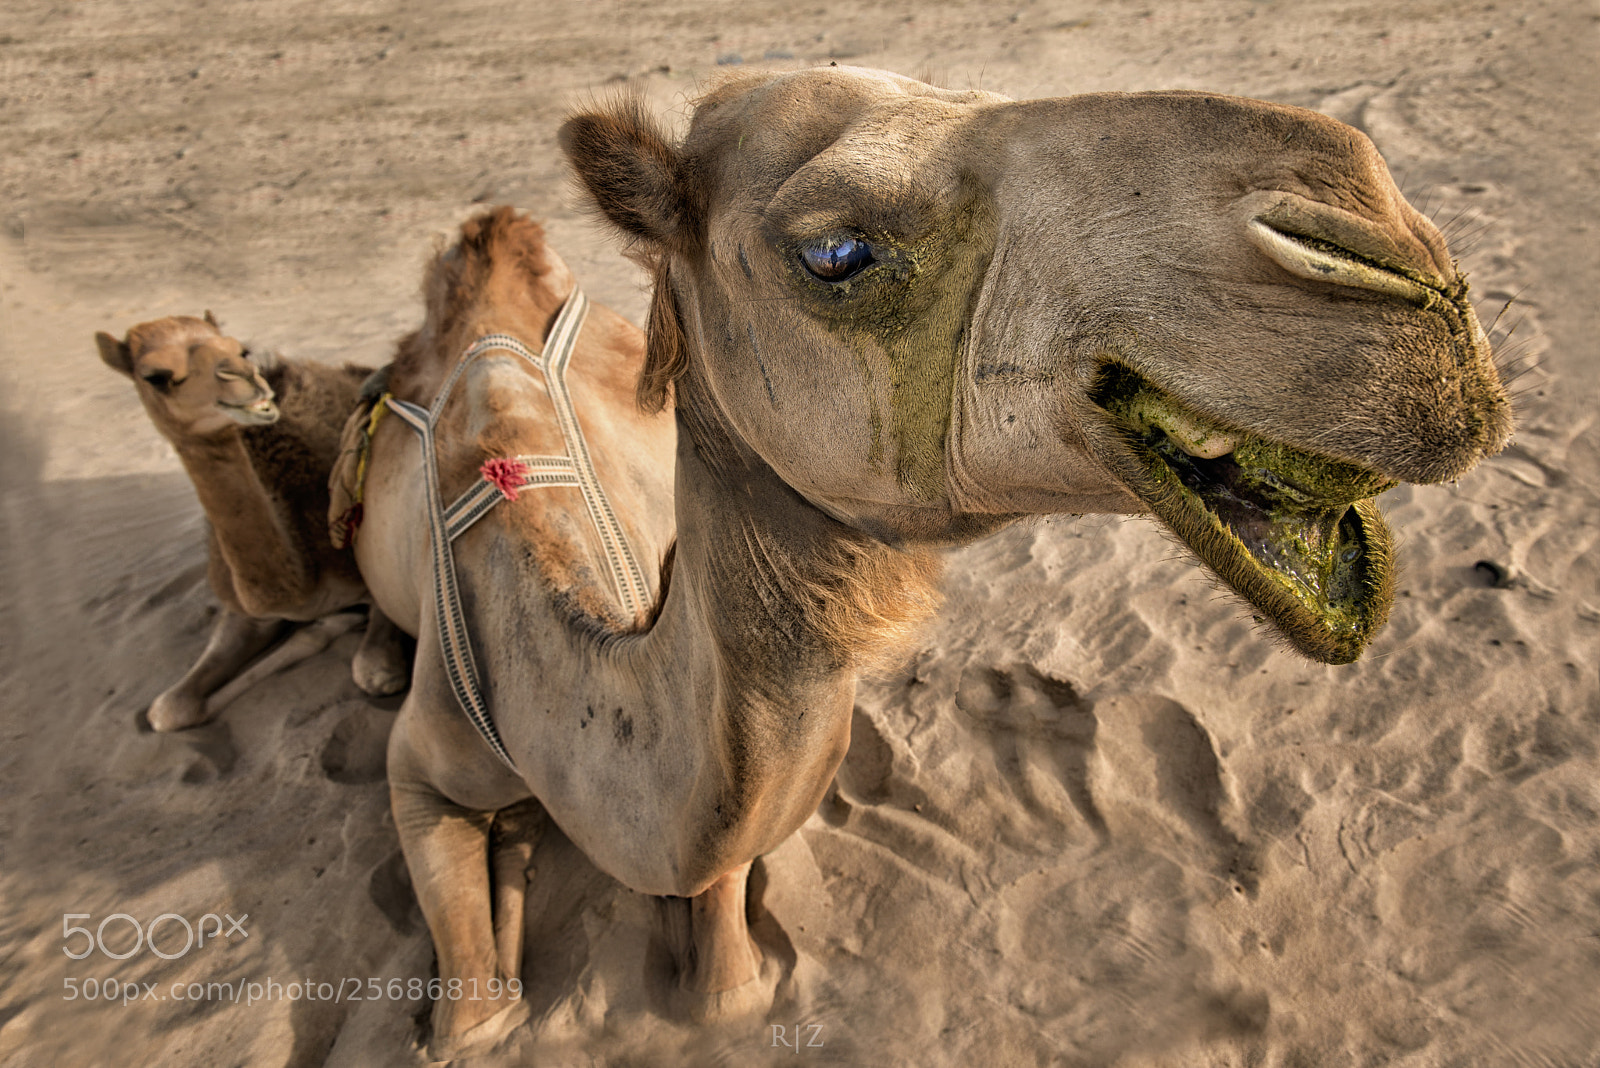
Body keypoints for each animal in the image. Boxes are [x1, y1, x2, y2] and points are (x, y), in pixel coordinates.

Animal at [98, 308, 412, 729]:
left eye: (240, 349)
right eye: (155, 376)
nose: (247, 379)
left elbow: (373, 671)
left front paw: (335, 624)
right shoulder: (244, 609)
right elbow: (167, 709)